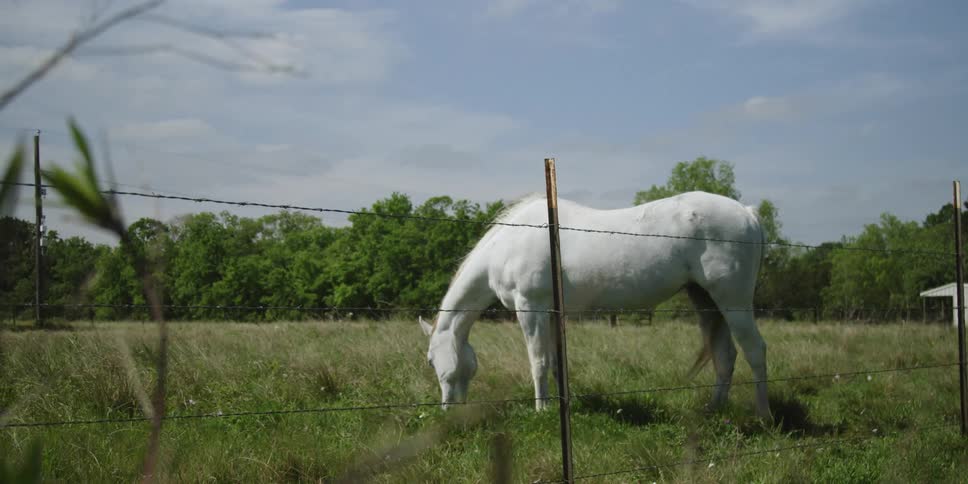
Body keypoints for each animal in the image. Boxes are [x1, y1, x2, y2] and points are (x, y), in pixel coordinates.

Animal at [419, 191, 771, 419]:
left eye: (430, 360)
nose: (447, 411)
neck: (507, 244)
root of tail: (748, 213)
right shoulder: (551, 315)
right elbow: (555, 364)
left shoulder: (530, 308)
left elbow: (538, 362)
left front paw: (541, 410)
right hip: (707, 301)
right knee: (725, 356)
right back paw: (714, 410)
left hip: (734, 302)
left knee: (755, 351)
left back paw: (764, 415)